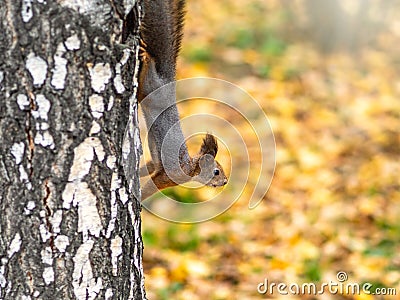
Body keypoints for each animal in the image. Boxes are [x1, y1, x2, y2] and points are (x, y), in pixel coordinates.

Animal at [138, 0, 227, 200]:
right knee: (148, 66)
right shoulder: (170, 176)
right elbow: (151, 186)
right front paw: (137, 198)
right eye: (216, 171)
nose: (225, 181)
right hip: (150, 87)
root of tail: (168, 80)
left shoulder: (155, 165)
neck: (191, 168)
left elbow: (149, 167)